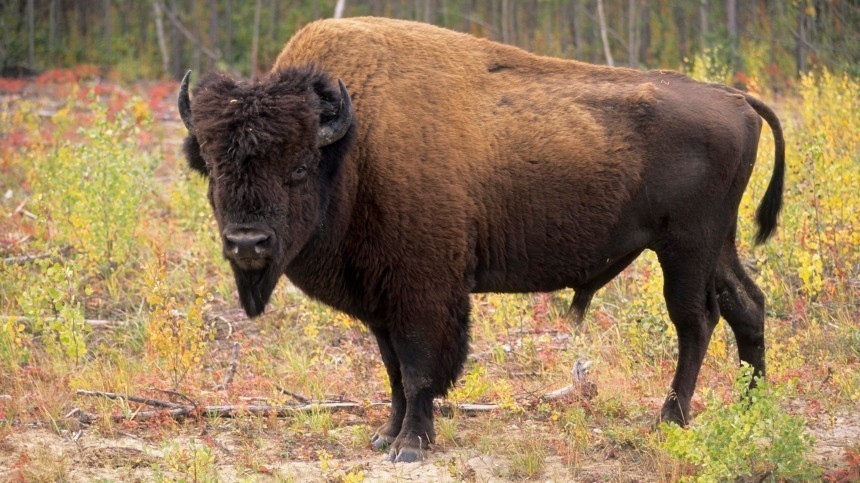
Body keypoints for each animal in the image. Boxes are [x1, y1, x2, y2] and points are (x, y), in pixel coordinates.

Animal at [176, 16, 788, 462]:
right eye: (212, 168)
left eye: (299, 167)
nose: (247, 244)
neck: (354, 144)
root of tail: (735, 98)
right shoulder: (381, 296)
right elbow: (392, 370)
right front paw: (385, 436)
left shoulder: (423, 292)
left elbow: (419, 369)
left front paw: (410, 447)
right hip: (718, 244)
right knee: (747, 305)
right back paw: (752, 408)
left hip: (685, 247)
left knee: (696, 321)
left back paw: (670, 419)